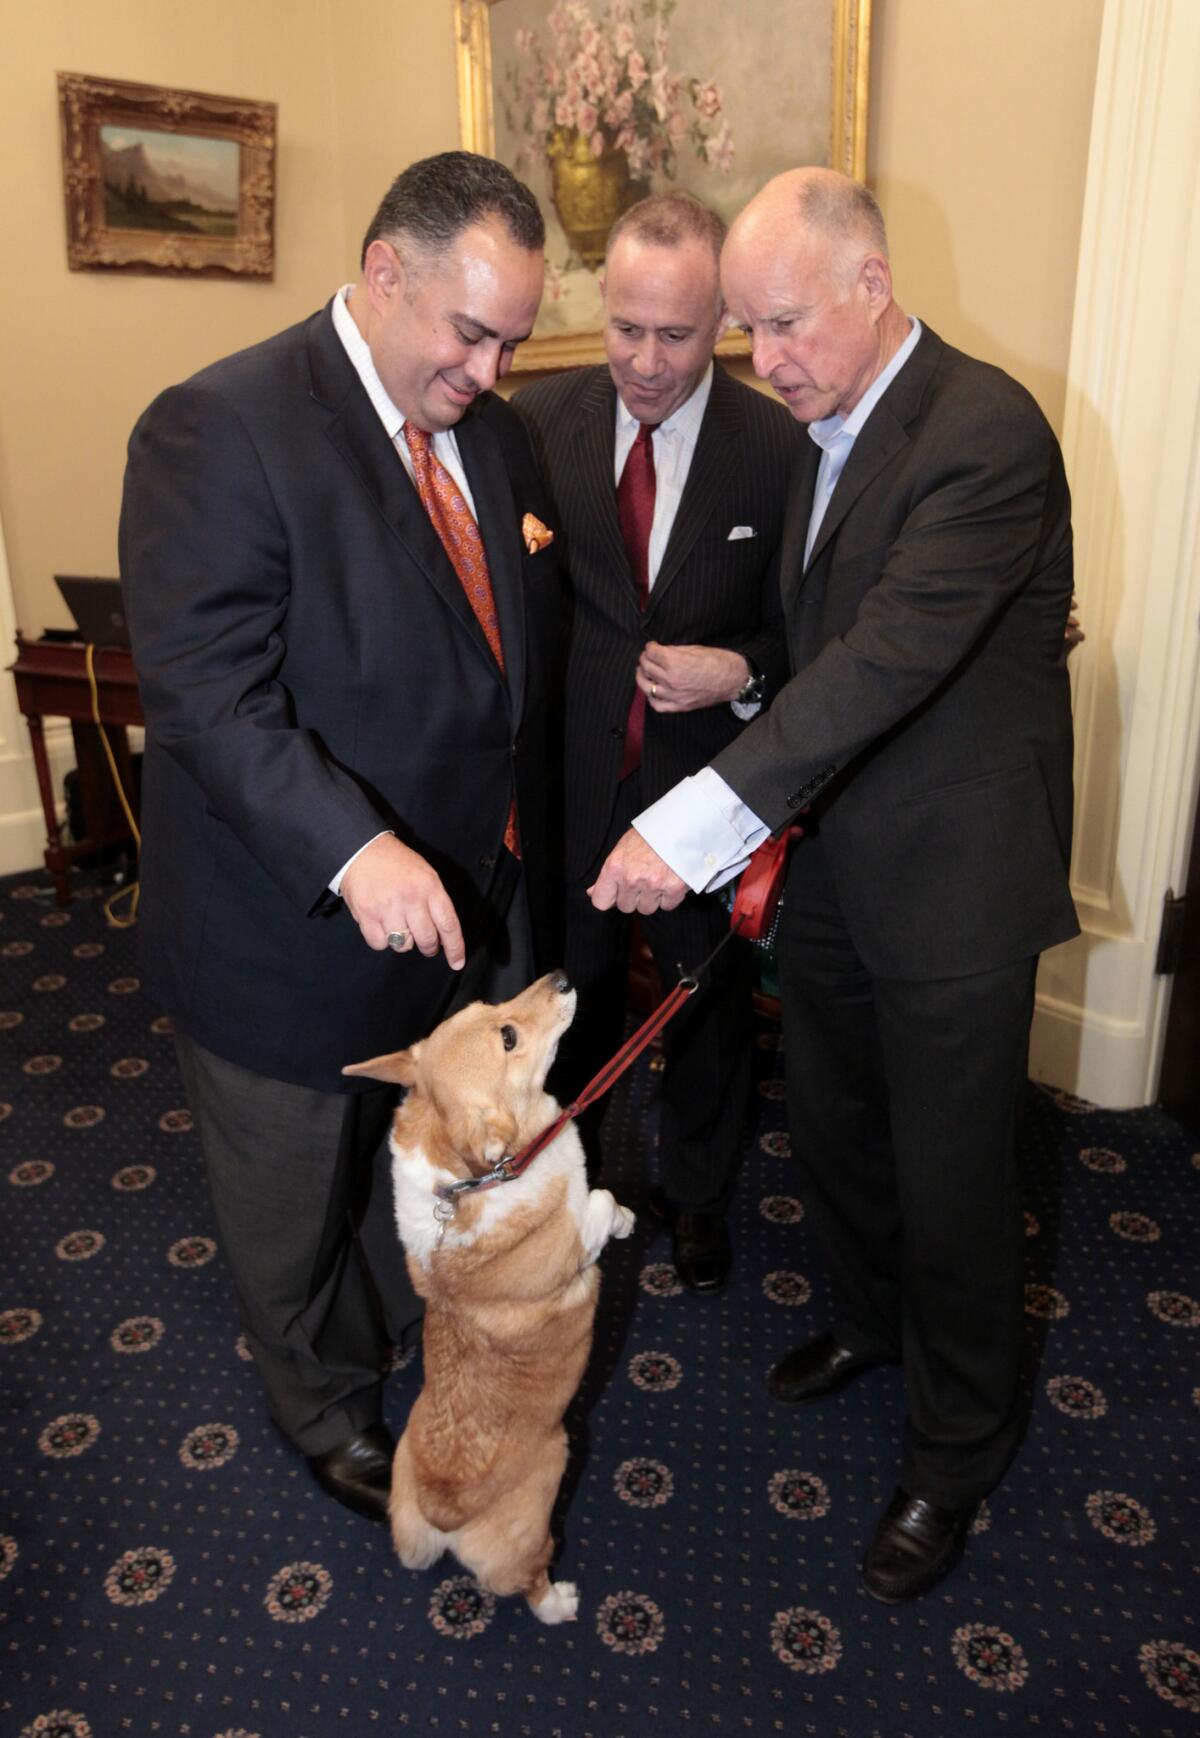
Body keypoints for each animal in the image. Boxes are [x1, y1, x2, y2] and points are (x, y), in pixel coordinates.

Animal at [340, 973, 629, 1619]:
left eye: (484, 1002)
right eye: (508, 1036)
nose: (561, 978)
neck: (473, 1180)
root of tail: (445, 1517)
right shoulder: (575, 1240)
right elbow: (599, 1204)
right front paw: (622, 1220)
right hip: (549, 1489)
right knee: (528, 1579)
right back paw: (561, 1603)